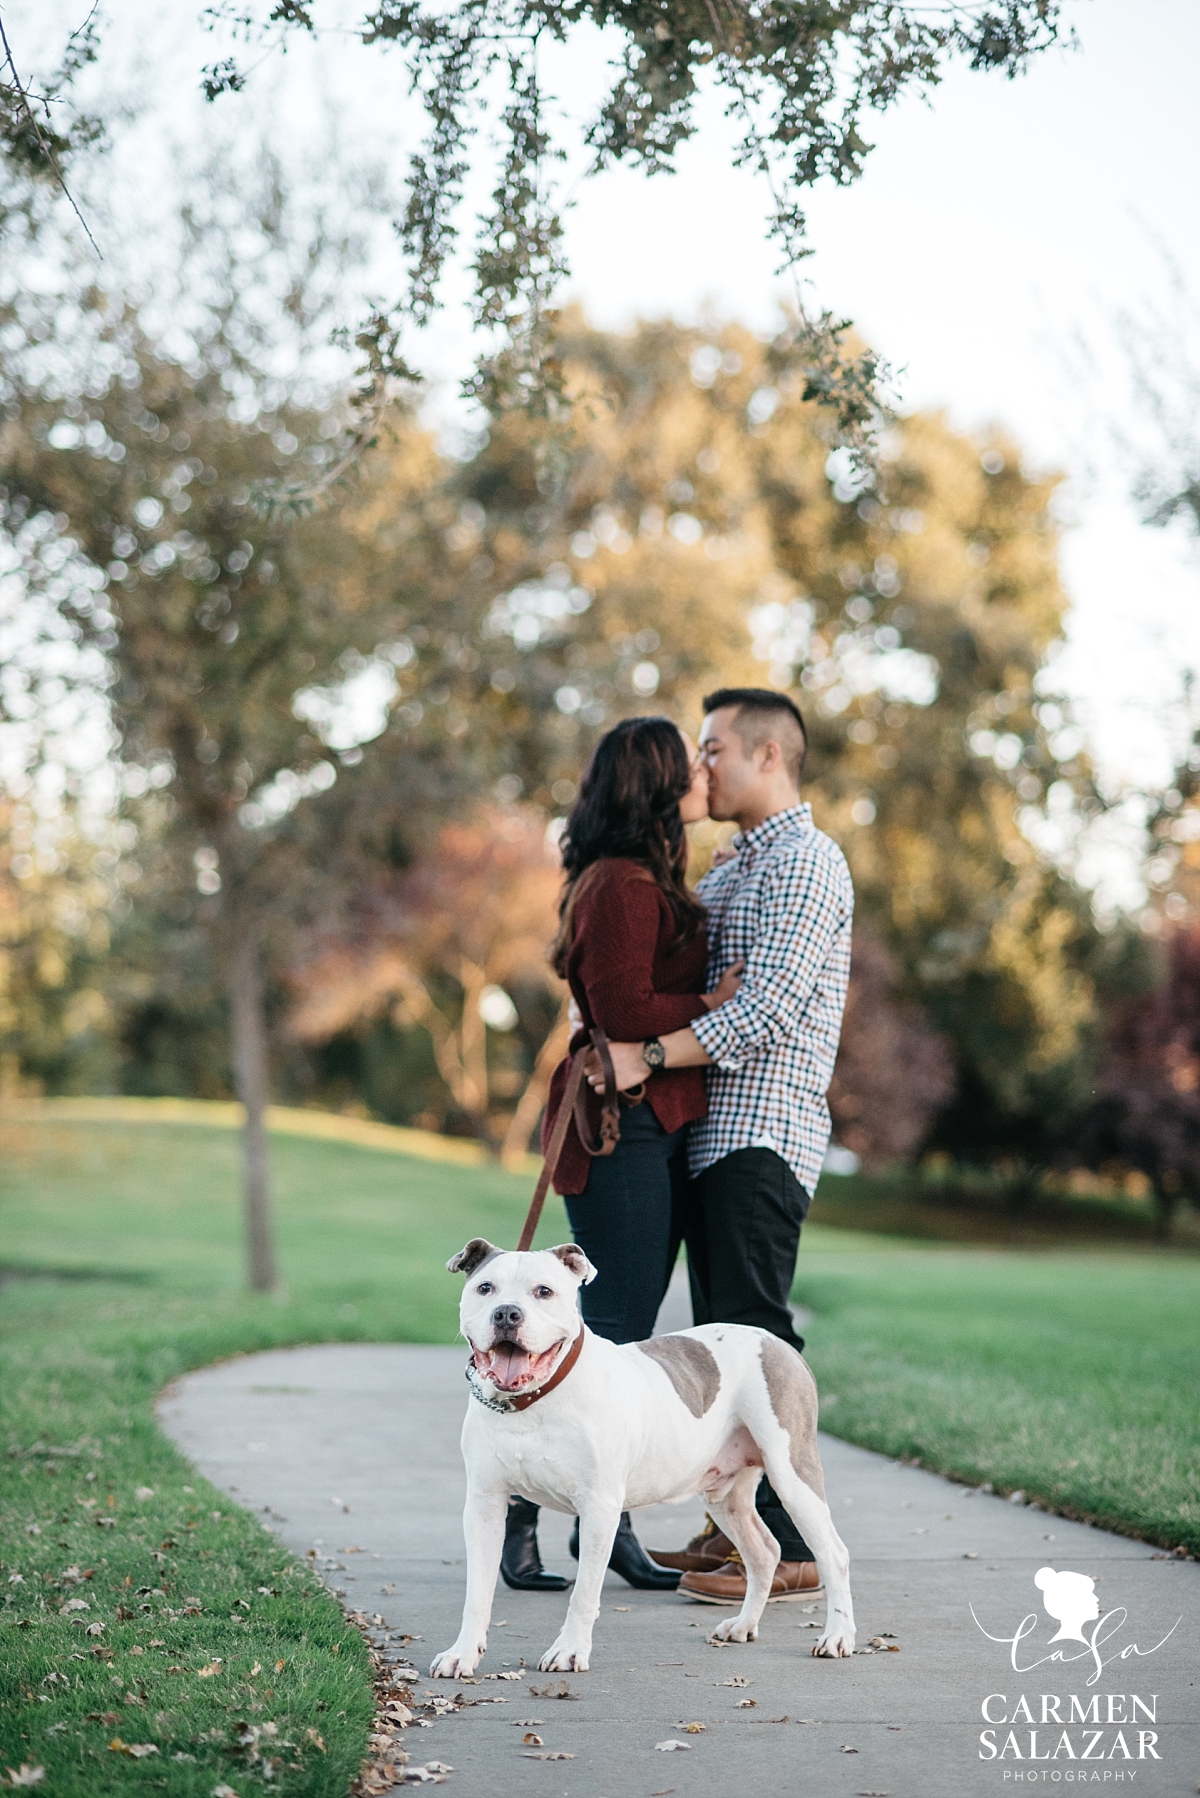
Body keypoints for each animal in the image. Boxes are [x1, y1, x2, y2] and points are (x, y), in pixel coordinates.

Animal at [431, 1237, 852, 1668]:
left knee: (833, 1555)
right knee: (764, 1552)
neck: (532, 1401)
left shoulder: (598, 1507)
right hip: (726, 1496)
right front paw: (463, 1653)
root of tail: (774, 1341)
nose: (506, 1313)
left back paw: (837, 1636)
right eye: (485, 1288)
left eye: (544, 1291)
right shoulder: (484, 1505)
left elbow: (584, 1593)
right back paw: (742, 1625)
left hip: (793, 1474)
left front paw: (569, 1650)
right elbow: (477, 1592)